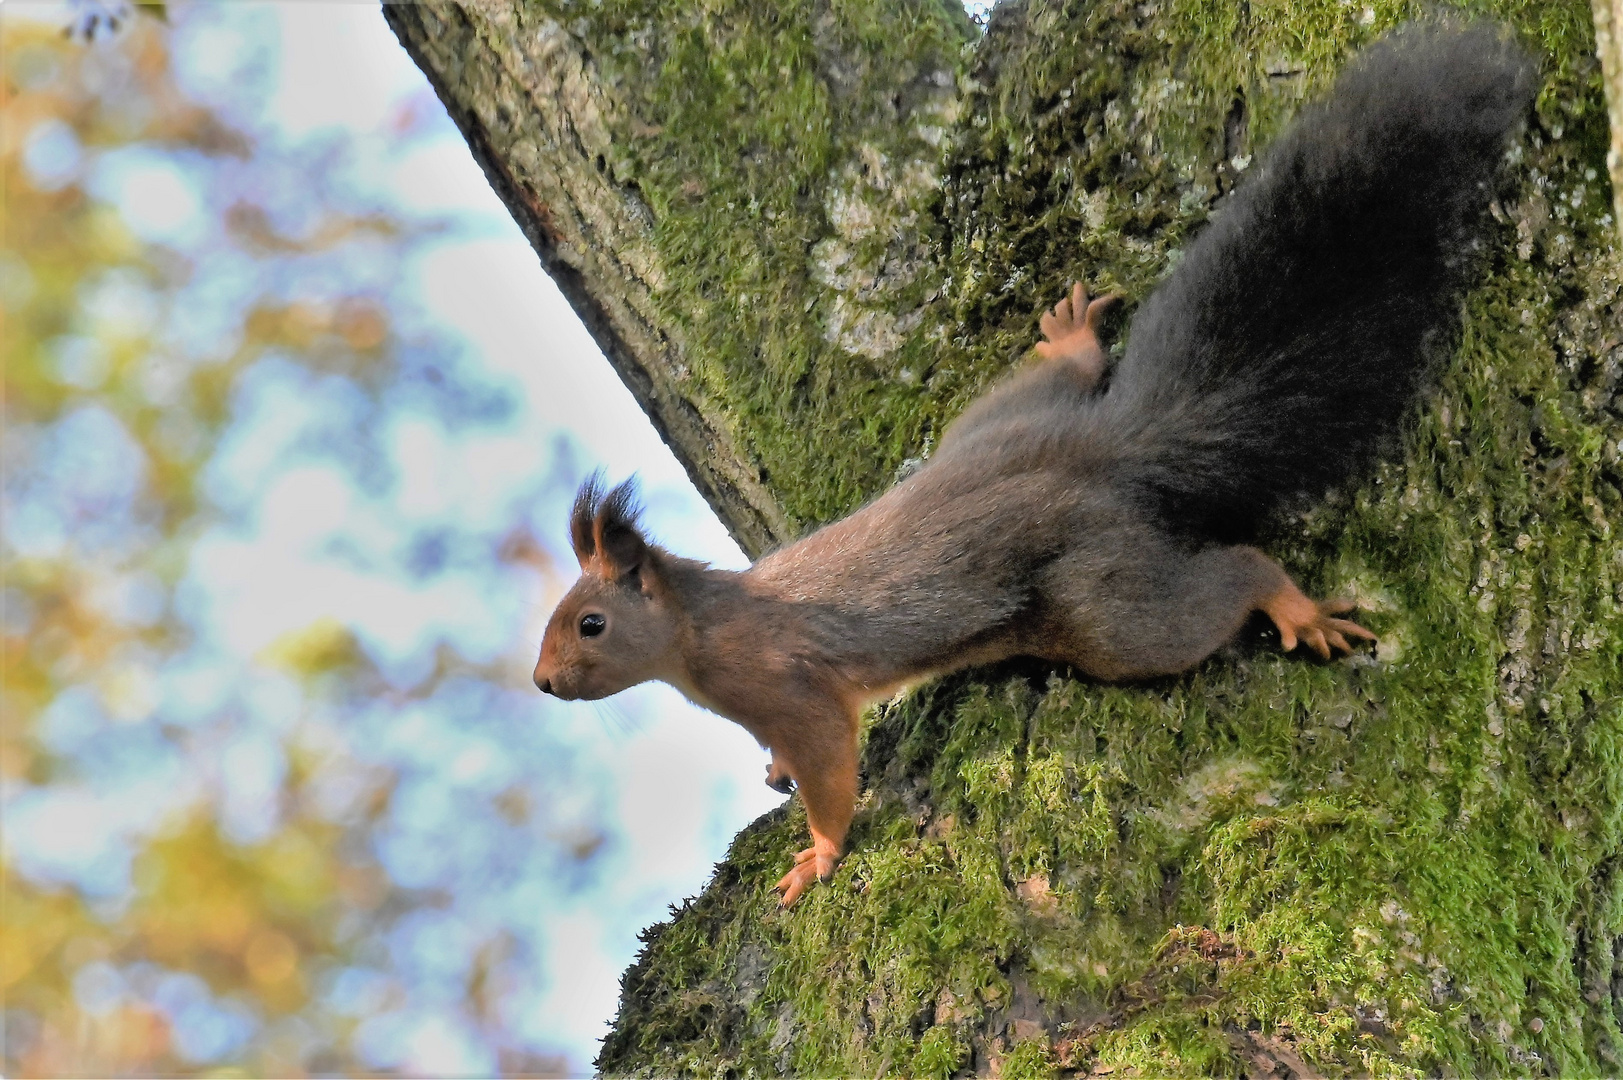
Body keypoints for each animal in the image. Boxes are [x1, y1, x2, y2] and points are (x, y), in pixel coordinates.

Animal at [532, 23, 1532, 902]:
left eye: (590, 624)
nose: (541, 685)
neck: (701, 629)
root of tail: (1100, 451)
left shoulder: (789, 684)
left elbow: (826, 767)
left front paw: (817, 854)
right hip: (990, 424)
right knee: (1061, 384)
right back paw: (1071, 340)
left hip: (1103, 603)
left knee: (1222, 583)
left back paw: (1294, 607)